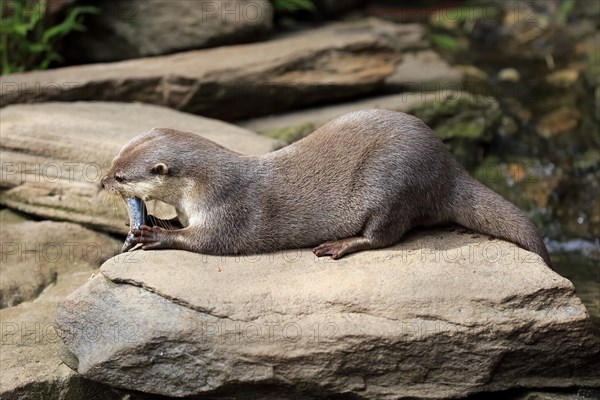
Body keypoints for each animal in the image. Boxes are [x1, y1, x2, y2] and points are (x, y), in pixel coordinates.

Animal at [99, 109, 552, 266]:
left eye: (121, 176)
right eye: (113, 161)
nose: (101, 181)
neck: (202, 189)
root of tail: (450, 167)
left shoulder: (228, 209)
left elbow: (208, 241)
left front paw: (154, 235)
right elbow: (180, 223)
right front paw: (155, 221)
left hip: (395, 181)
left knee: (386, 235)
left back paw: (339, 245)